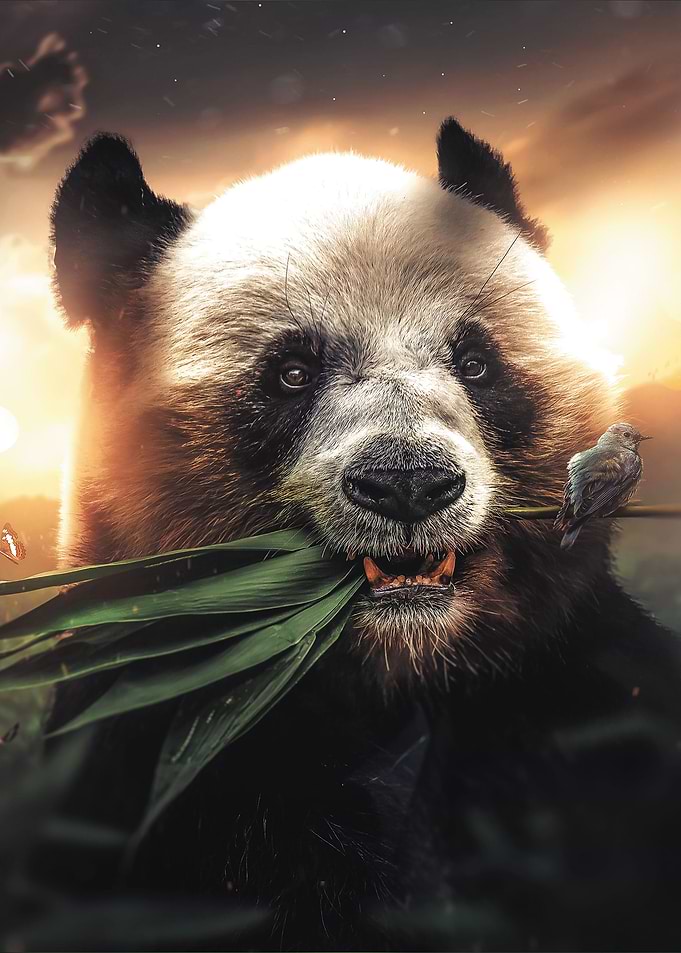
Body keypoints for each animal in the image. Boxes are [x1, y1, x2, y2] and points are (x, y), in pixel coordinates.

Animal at [46, 118, 681, 951]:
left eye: (474, 362)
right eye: (290, 372)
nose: (407, 482)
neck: (395, 673)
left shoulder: (570, 689)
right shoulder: (156, 741)